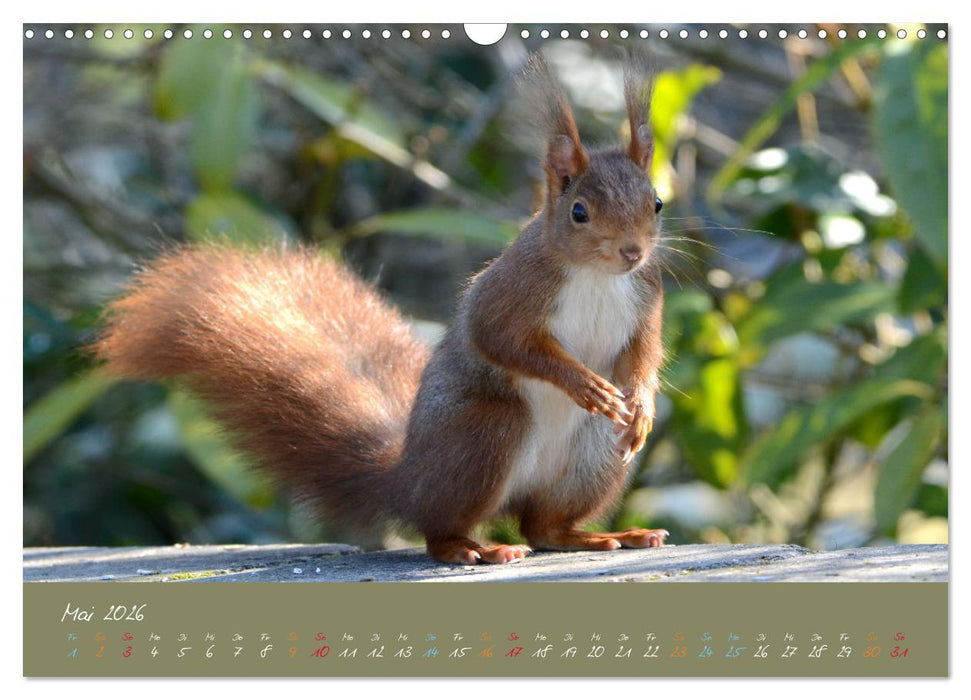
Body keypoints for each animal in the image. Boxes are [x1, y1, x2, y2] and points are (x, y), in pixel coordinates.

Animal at [95, 55, 668, 565]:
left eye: (657, 203)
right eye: (579, 212)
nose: (632, 252)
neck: (597, 276)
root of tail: (407, 480)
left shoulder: (647, 295)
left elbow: (644, 354)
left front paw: (640, 407)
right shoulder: (514, 289)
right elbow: (499, 338)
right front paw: (583, 383)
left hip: (595, 454)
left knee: (544, 526)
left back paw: (602, 534)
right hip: (486, 433)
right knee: (443, 526)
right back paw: (471, 548)